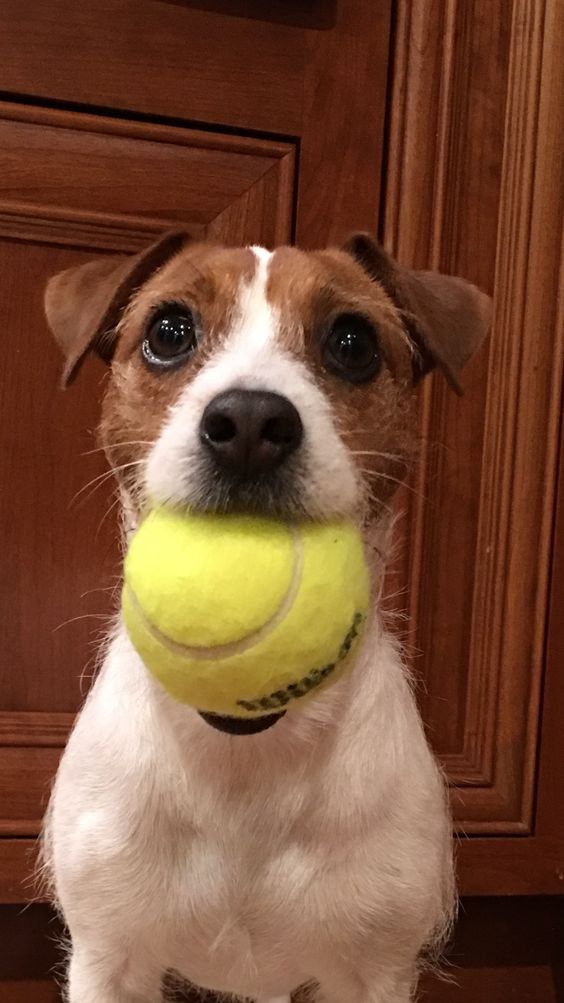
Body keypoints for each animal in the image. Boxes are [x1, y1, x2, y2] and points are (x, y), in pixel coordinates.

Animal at [42, 230, 487, 998]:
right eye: (168, 331)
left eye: (352, 341)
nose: (250, 420)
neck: (245, 753)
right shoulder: (109, 957)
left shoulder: (374, 969)